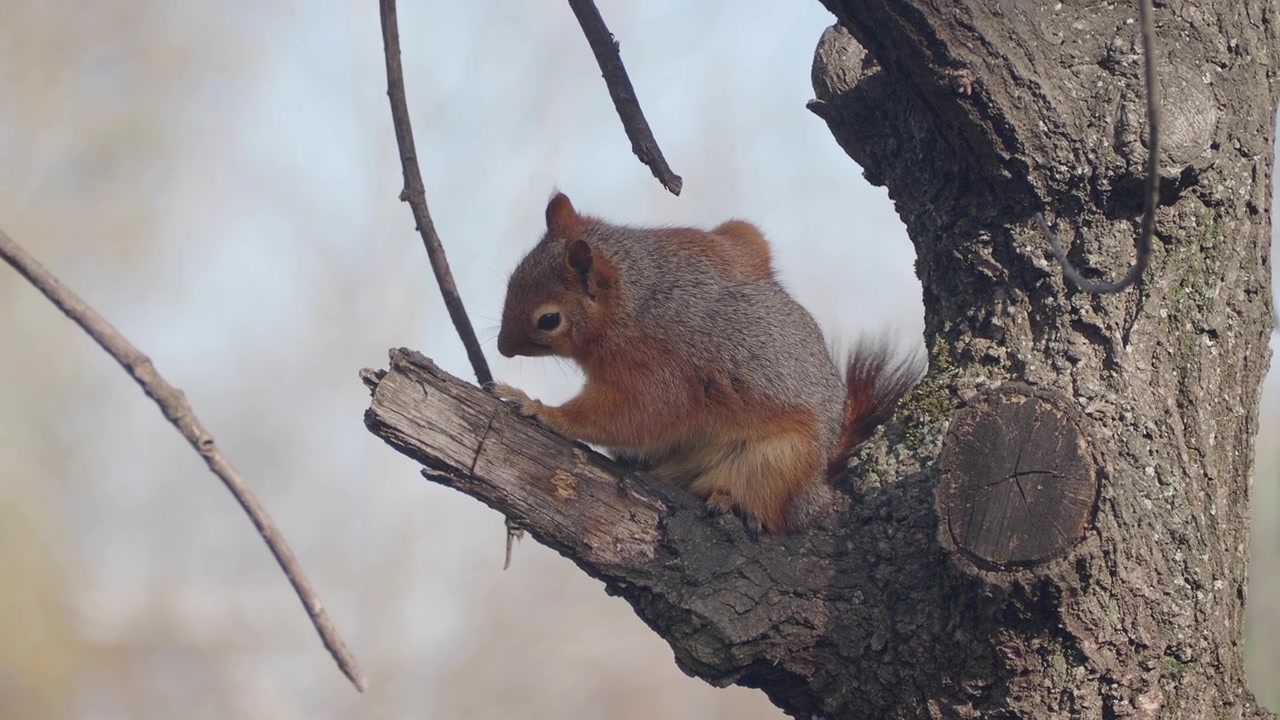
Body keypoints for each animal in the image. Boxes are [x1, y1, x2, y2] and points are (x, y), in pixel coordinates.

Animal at [489, 192, 924, 534]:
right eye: (512, 279)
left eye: (548, 320)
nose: (502, 348)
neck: (633, 304)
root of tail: (816, 489)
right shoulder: (729, 240)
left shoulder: (658, 369)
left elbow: (634, 414)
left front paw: (539, 409)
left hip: (777, 461)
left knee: (769, 507)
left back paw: (730, 499)